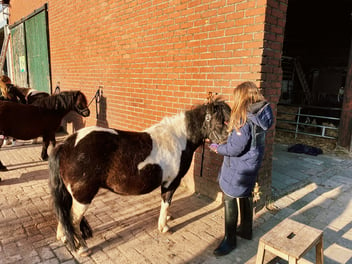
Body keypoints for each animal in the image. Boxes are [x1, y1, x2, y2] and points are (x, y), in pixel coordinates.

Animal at [48, 98, 231, 256]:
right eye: (220, 120)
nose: (227, 141)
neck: (179, 139)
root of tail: (66, 145)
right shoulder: (171, 182)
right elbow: (166, 202)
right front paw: (164, 227)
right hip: (83, 197)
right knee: (73, 220)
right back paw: (82, 249)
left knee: (64, 216)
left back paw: (64, 238)